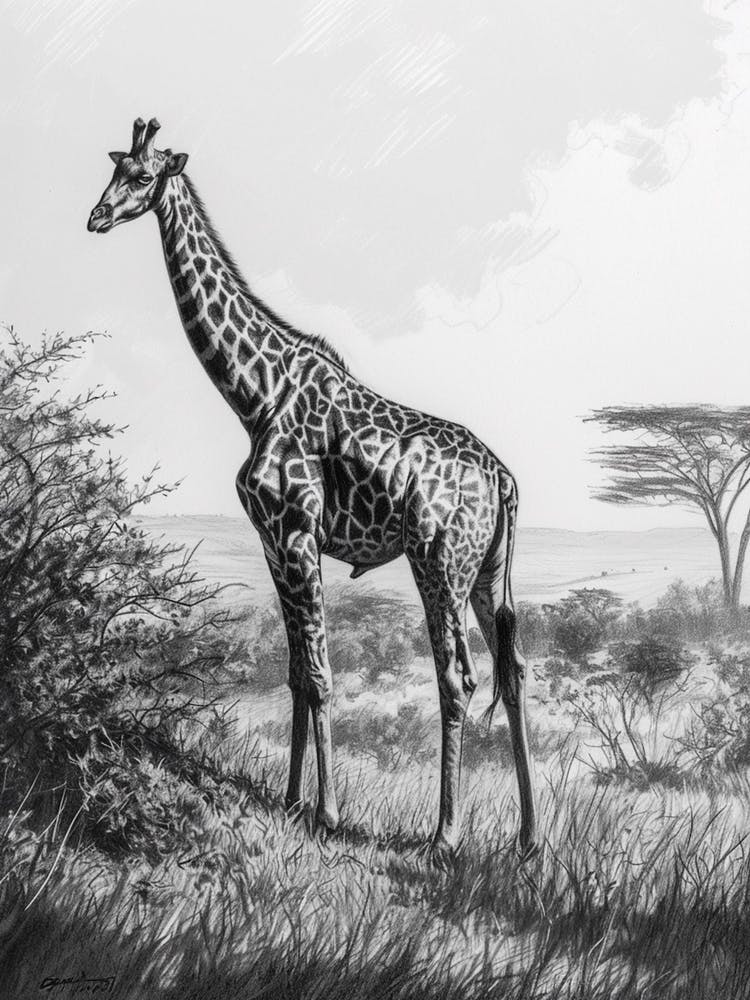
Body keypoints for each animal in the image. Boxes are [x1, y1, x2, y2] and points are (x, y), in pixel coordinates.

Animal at [87, 118, 536, 859]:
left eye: (144, 177)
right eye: (116, 167)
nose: (95, 217)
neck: (254, 394)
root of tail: (503, 478)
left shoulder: (298, 533)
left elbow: (323, 676)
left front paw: (325, 813)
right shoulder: (273, 542)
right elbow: (296, 673)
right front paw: (293, 800)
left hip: (438, 561)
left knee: (459, 678)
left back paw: (444, 835)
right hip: (485, 571)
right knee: (516, 671)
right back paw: (528, 837)